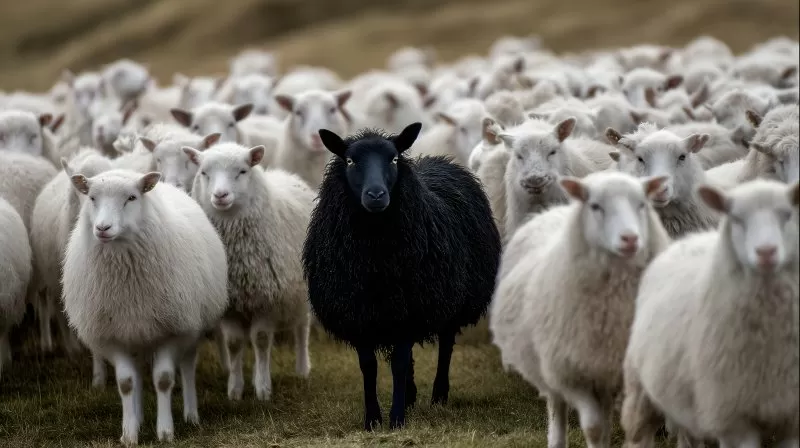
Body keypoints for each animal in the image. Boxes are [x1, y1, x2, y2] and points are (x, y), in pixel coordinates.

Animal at [62, 169, 228, 445]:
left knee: (187, 367)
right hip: (136, 330)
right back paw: (138, 417)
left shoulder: (173, 331)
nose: (102, 228)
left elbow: (163, 380)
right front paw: (129, 434)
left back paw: (191, 415)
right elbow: (127, 383)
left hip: (190, 328)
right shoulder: (113, 336)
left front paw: (165, 432)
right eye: (92, 198)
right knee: (138, 373)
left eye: (131, 197)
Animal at [183, 142, 313, 401]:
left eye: (242, 171)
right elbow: (234, 344)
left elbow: (261, 341)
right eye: (204, 173)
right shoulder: (231, 304)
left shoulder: (267, 299)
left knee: (302, 327)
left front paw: (263, 389)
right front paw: (235, 390)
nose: (220, 196)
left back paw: (303, 369)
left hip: (302, 291)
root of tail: (287, 175)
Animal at [303, 122, 502, 430]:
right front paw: (373, 419)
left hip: (450, 299)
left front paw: (396, 419)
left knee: (445, 346)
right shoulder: (358, 312)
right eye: (350, 160)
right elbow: (370, 366)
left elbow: (399, 363)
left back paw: (438, 395)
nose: (375, 195)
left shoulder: (412, 308)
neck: (375, 255)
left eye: (394, 159)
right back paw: (410, 394)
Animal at [490, 171, 671, 448]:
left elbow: (633, 431)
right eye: (595, 206)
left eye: (642, 204)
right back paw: (556, 440)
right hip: (550, 365)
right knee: (556, 405)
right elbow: (594, 427)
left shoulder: (629, 374)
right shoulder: (571, 373)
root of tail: (554, 211)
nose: (630, 239)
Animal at [621, 180, 799, 448]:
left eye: (787, 214)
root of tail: (690, 239)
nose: (766, 252)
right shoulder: (732, 419)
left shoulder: (789, 417)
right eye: (736, 218)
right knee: (640, 433)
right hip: (641, 388)